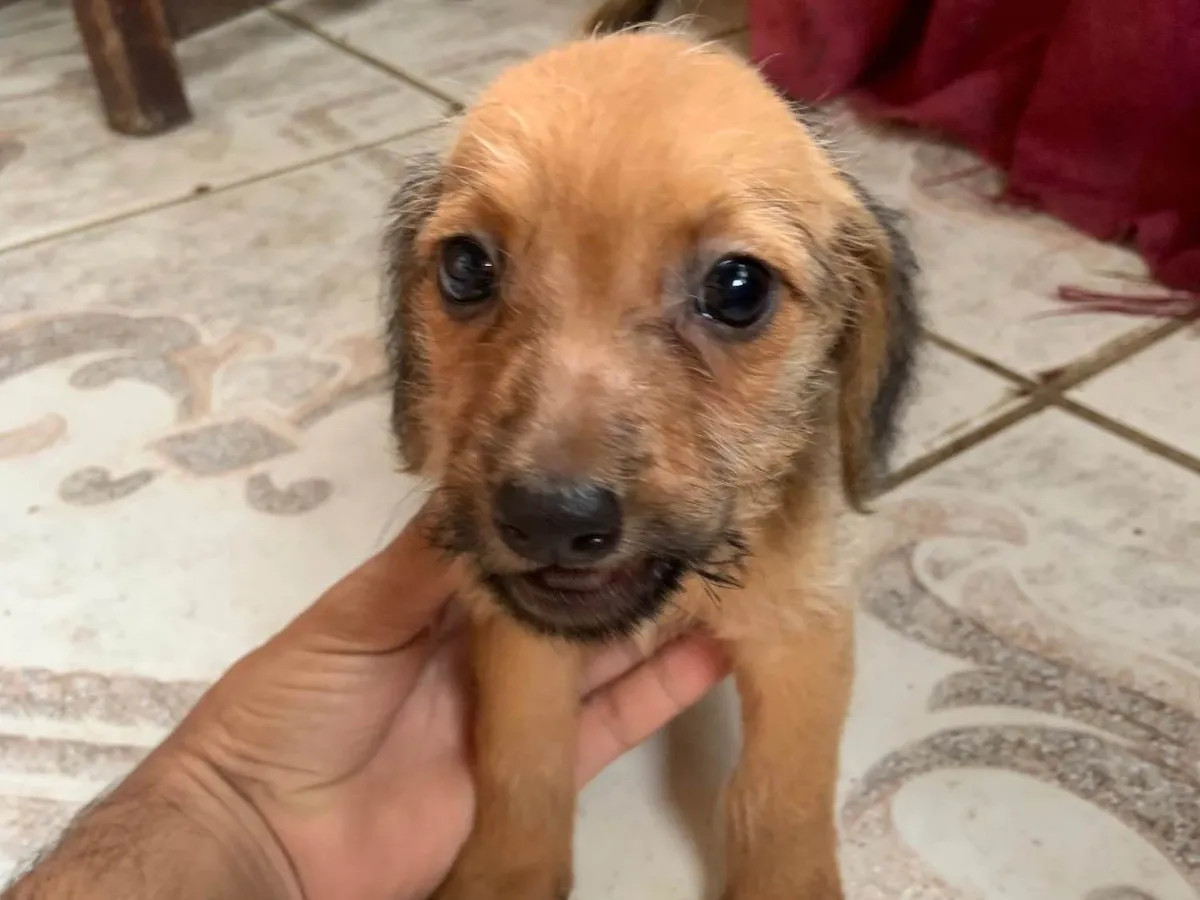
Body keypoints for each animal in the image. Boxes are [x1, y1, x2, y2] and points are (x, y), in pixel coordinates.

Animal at [383, 2, 920, 897]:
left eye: (739, 288)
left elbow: (783, 789)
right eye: (464, 267)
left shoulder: (803, 629)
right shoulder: (518, 634)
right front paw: (505, 872)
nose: (550, 519)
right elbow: (521, 764)